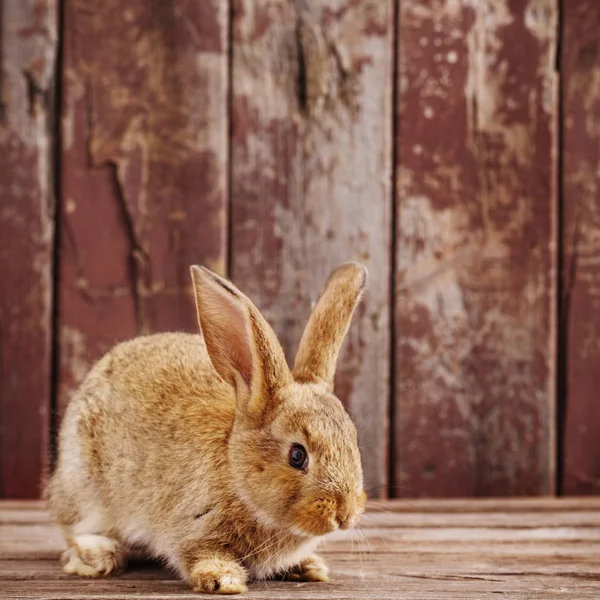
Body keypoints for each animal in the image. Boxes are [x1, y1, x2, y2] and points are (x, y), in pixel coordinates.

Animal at [48, 262, 366, 596]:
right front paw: (225, 580)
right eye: (297, 455)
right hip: (84, 485)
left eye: (353, 441)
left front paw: (309, 567)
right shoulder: (193, 527)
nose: (344, 515)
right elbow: (201, 554)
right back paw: (100, 554)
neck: (236, 474)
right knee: (73, 528)